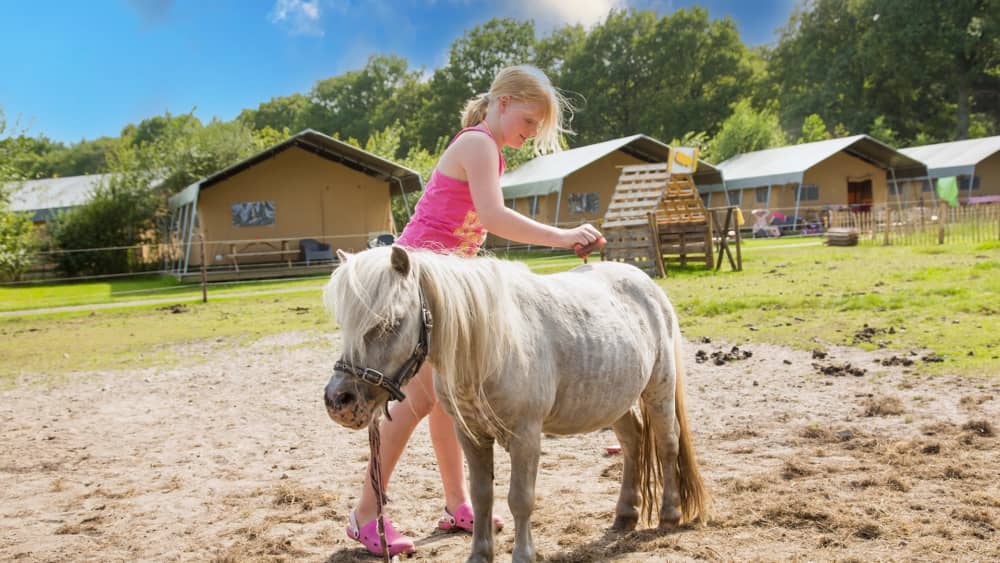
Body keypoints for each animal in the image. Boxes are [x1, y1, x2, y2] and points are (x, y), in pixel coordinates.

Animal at [324, 247, 708, 563]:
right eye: (345, 324)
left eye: (390, 322)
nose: (338, 400)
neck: (487, 347)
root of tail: (646, 283)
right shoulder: (471, 435)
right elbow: (481, 496)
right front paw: (479, 555)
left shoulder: (526, 437)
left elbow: (520, 499)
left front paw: (524, 555)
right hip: (615, 401)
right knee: (633, 442)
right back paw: (625, 513)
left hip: (659, 389)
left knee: (667, 442)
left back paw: (670, 514)